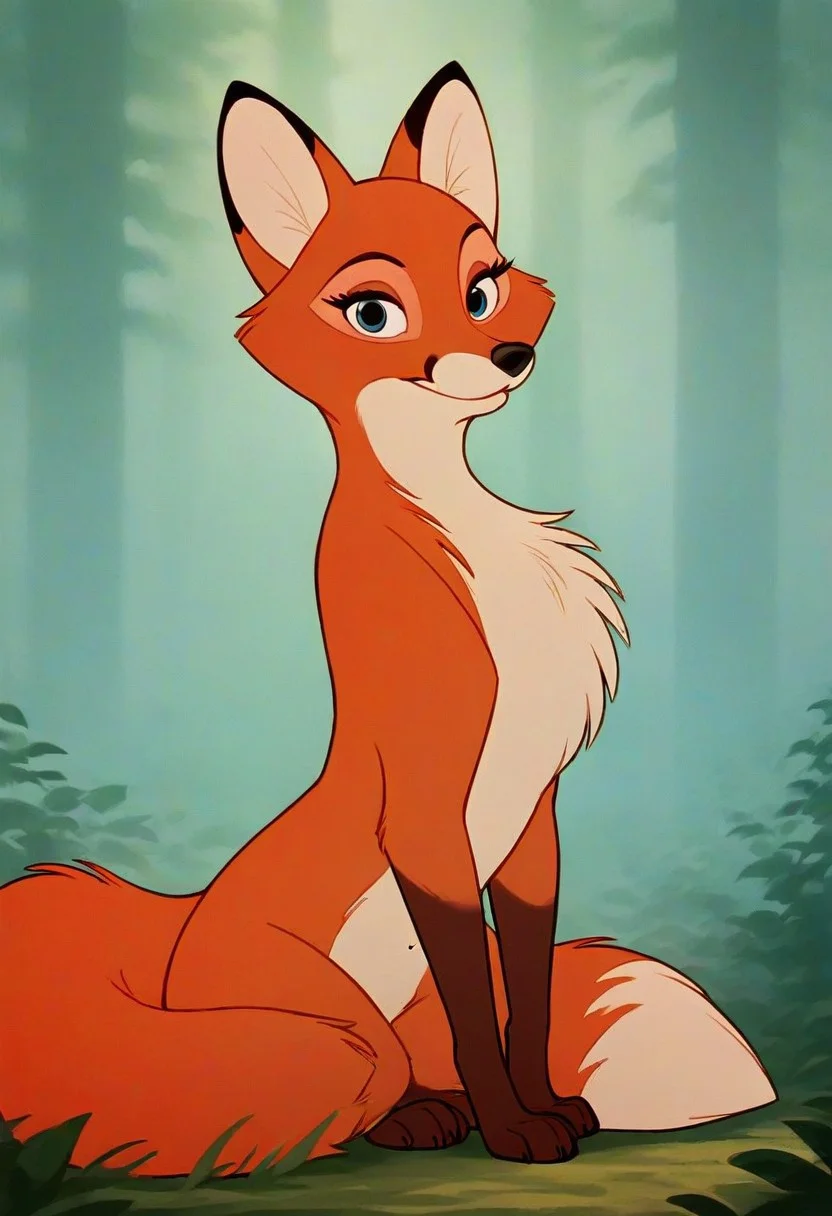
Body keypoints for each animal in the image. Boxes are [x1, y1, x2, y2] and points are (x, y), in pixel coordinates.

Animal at [0, 62, 776, 1174]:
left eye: (483, 286)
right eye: (372, 311)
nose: (506, 352)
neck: (465, 532)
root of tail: (175, 935)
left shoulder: (531, 820)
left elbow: (524, 996)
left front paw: (549, 1106)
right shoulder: (424, 818)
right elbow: (479, 1008)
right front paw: (514, 1132)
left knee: (425, 1051)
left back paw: (438, 1106)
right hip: (342, 1021)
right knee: (369, 1078)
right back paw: (419, 1117)